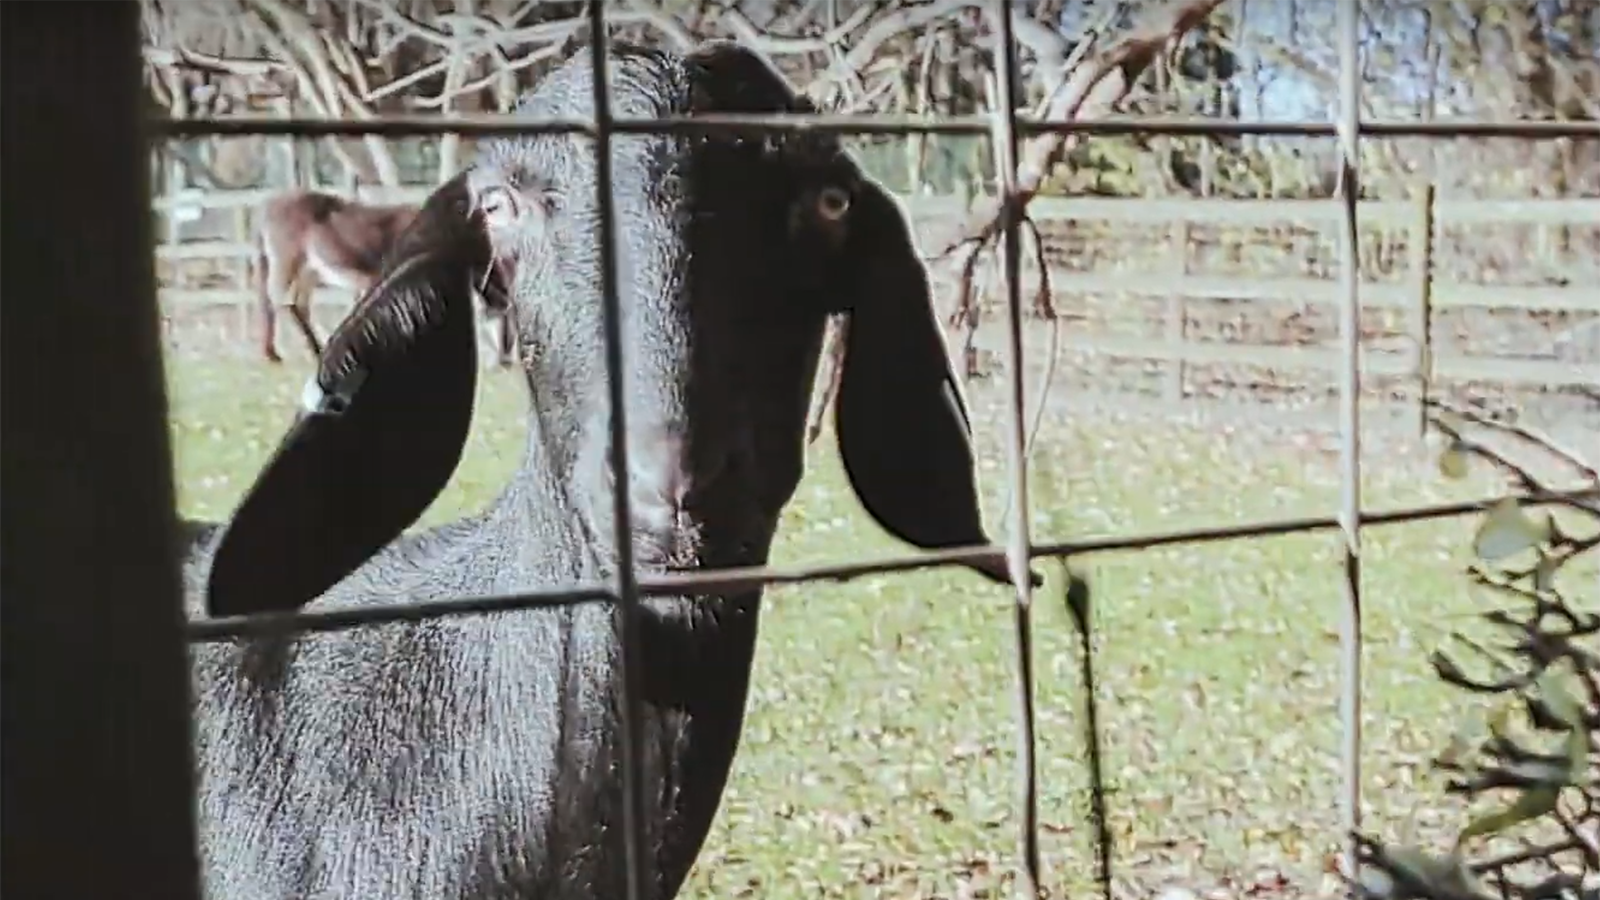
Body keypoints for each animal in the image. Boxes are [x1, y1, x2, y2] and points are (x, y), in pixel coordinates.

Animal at [254, 188, 518, 367]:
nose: (505, 361)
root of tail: (267, 205)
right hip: (287, 260)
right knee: (275, 300)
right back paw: (278, 353)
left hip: (309, 270)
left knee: (295, 304)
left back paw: (308, 350)